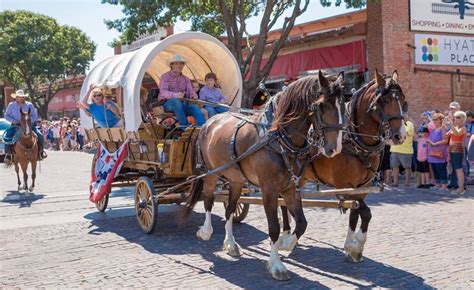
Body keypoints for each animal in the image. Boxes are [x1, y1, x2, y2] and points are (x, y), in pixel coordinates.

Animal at [184, 71, 344, 280]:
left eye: (343, 104)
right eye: (324, 105)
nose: (335, 148)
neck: (278, 138)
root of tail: (208, 123)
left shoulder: (291, 188)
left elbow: (302, 223)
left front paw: (286, 244)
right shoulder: (269, 190)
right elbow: (274, 227)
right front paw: (277, 265)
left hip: (236, 180)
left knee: (229, 210)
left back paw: (231, 244)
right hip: (211, 173)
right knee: (208, 200)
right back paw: (205, 231)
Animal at [282, 70, 408, 262]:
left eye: (402, 99)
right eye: (386, 101)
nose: (400, 135)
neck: (355, 140)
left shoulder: (363, 186)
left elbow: (356, 213)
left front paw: (352, 248)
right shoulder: (344, 186)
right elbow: (363, 211)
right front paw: (354, 246)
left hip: (300, 178)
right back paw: (285, 235)